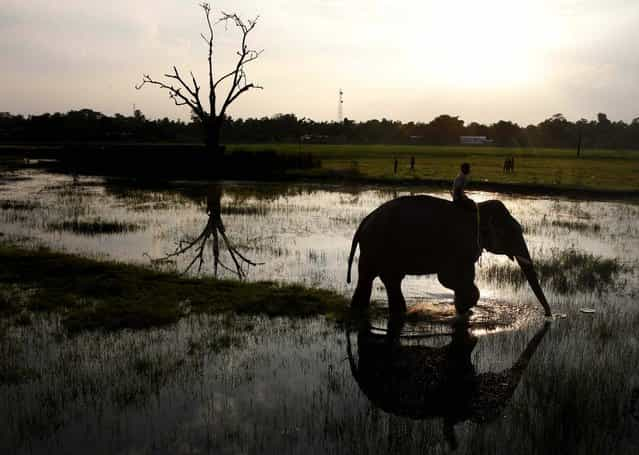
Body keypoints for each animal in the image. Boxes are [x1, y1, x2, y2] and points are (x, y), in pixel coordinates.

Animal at [348, 196, 552, 318]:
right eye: (514, 231)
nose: (548, 316)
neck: (478, 208)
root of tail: (365, 220)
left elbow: (461, 277)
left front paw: (462, 309)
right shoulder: (460, 244)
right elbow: (448, 278)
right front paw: (464, 307)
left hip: (373, 249)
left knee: (373, 279)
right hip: (380, 247)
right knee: (387, 279)